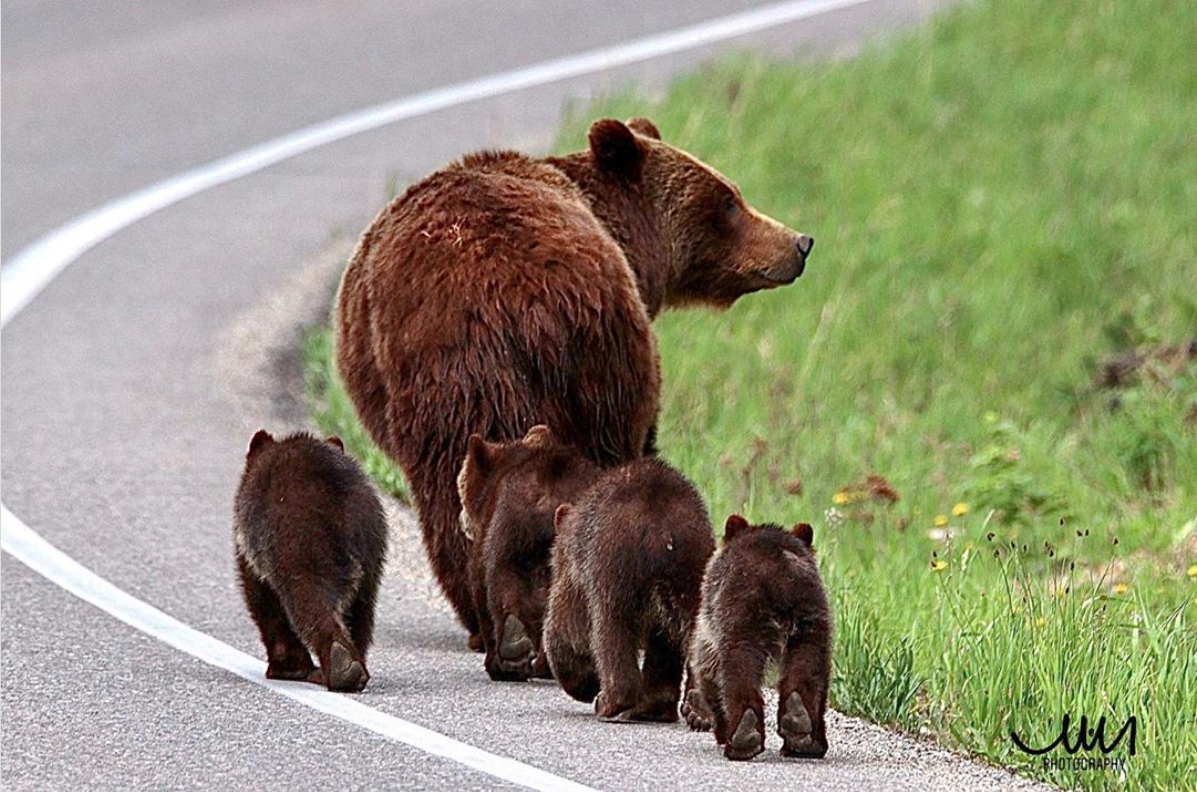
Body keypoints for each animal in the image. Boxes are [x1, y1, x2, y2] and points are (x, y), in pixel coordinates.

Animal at [231, 430, 385, 693]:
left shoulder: (254, 551)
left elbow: (264, 604)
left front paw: (285, 667)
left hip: (301, 545)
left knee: (310, 601)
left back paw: (338, 666)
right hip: (371, 550)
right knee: (361, 612)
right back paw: (354, 667)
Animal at [548, 459, 713, 727]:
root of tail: (663, 531)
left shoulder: (578, 571)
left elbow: (568, 627)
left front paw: (582, 681)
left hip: (613, 565)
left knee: (611, 630)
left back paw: (610, 702)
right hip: (693, 571)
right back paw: (694, 710)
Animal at [684, 519, 833, 760]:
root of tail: (782, 576)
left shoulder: (710, 619)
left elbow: (707, 667)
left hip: (741, 614)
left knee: (738, 666)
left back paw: (742, 736)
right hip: (810, 618)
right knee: (809, 664)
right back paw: (803, 732)